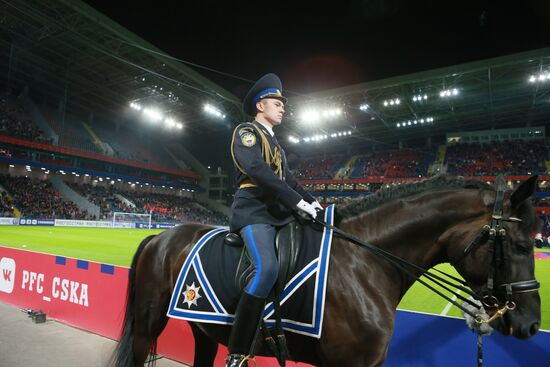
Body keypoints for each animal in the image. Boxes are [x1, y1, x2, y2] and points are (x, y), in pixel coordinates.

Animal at [112, 176, 544, 367]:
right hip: (149, 323)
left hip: (203, 327)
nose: (531, 324)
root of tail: (161, 236)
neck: (366, 262)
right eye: (522, 245)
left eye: (536, 243)